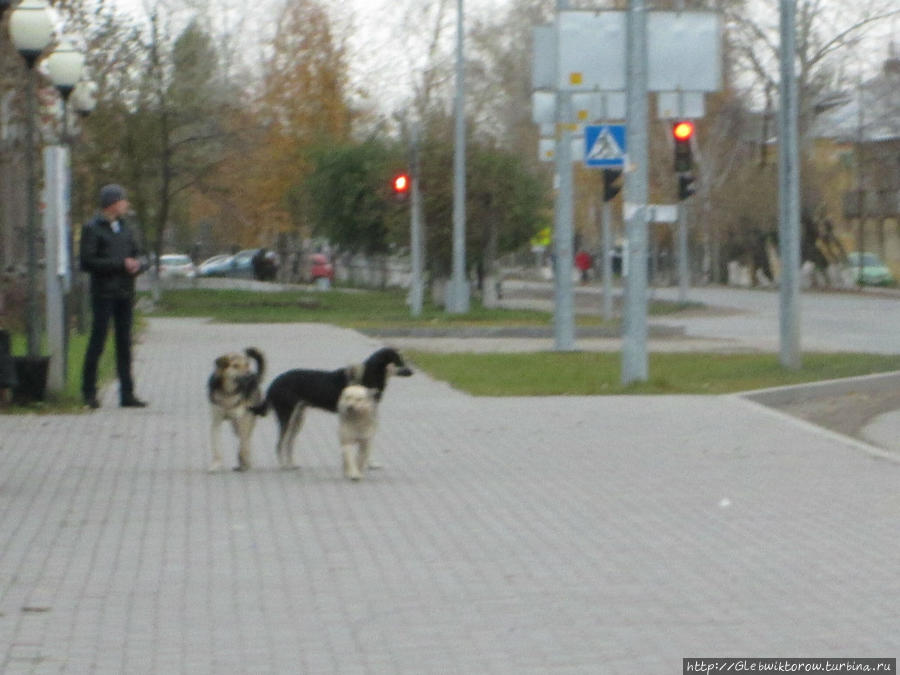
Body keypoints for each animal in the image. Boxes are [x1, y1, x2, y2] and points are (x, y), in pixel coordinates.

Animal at [250, 348, 412, 470]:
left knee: (289, 443)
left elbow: (367, 442)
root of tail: (274, 383)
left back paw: (292, 464)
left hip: (298, 418)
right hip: (288, 416)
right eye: (399, 361)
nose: (412, 372)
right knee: (280, 443)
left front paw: (368, 463)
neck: (368, 377)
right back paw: (284, 466)